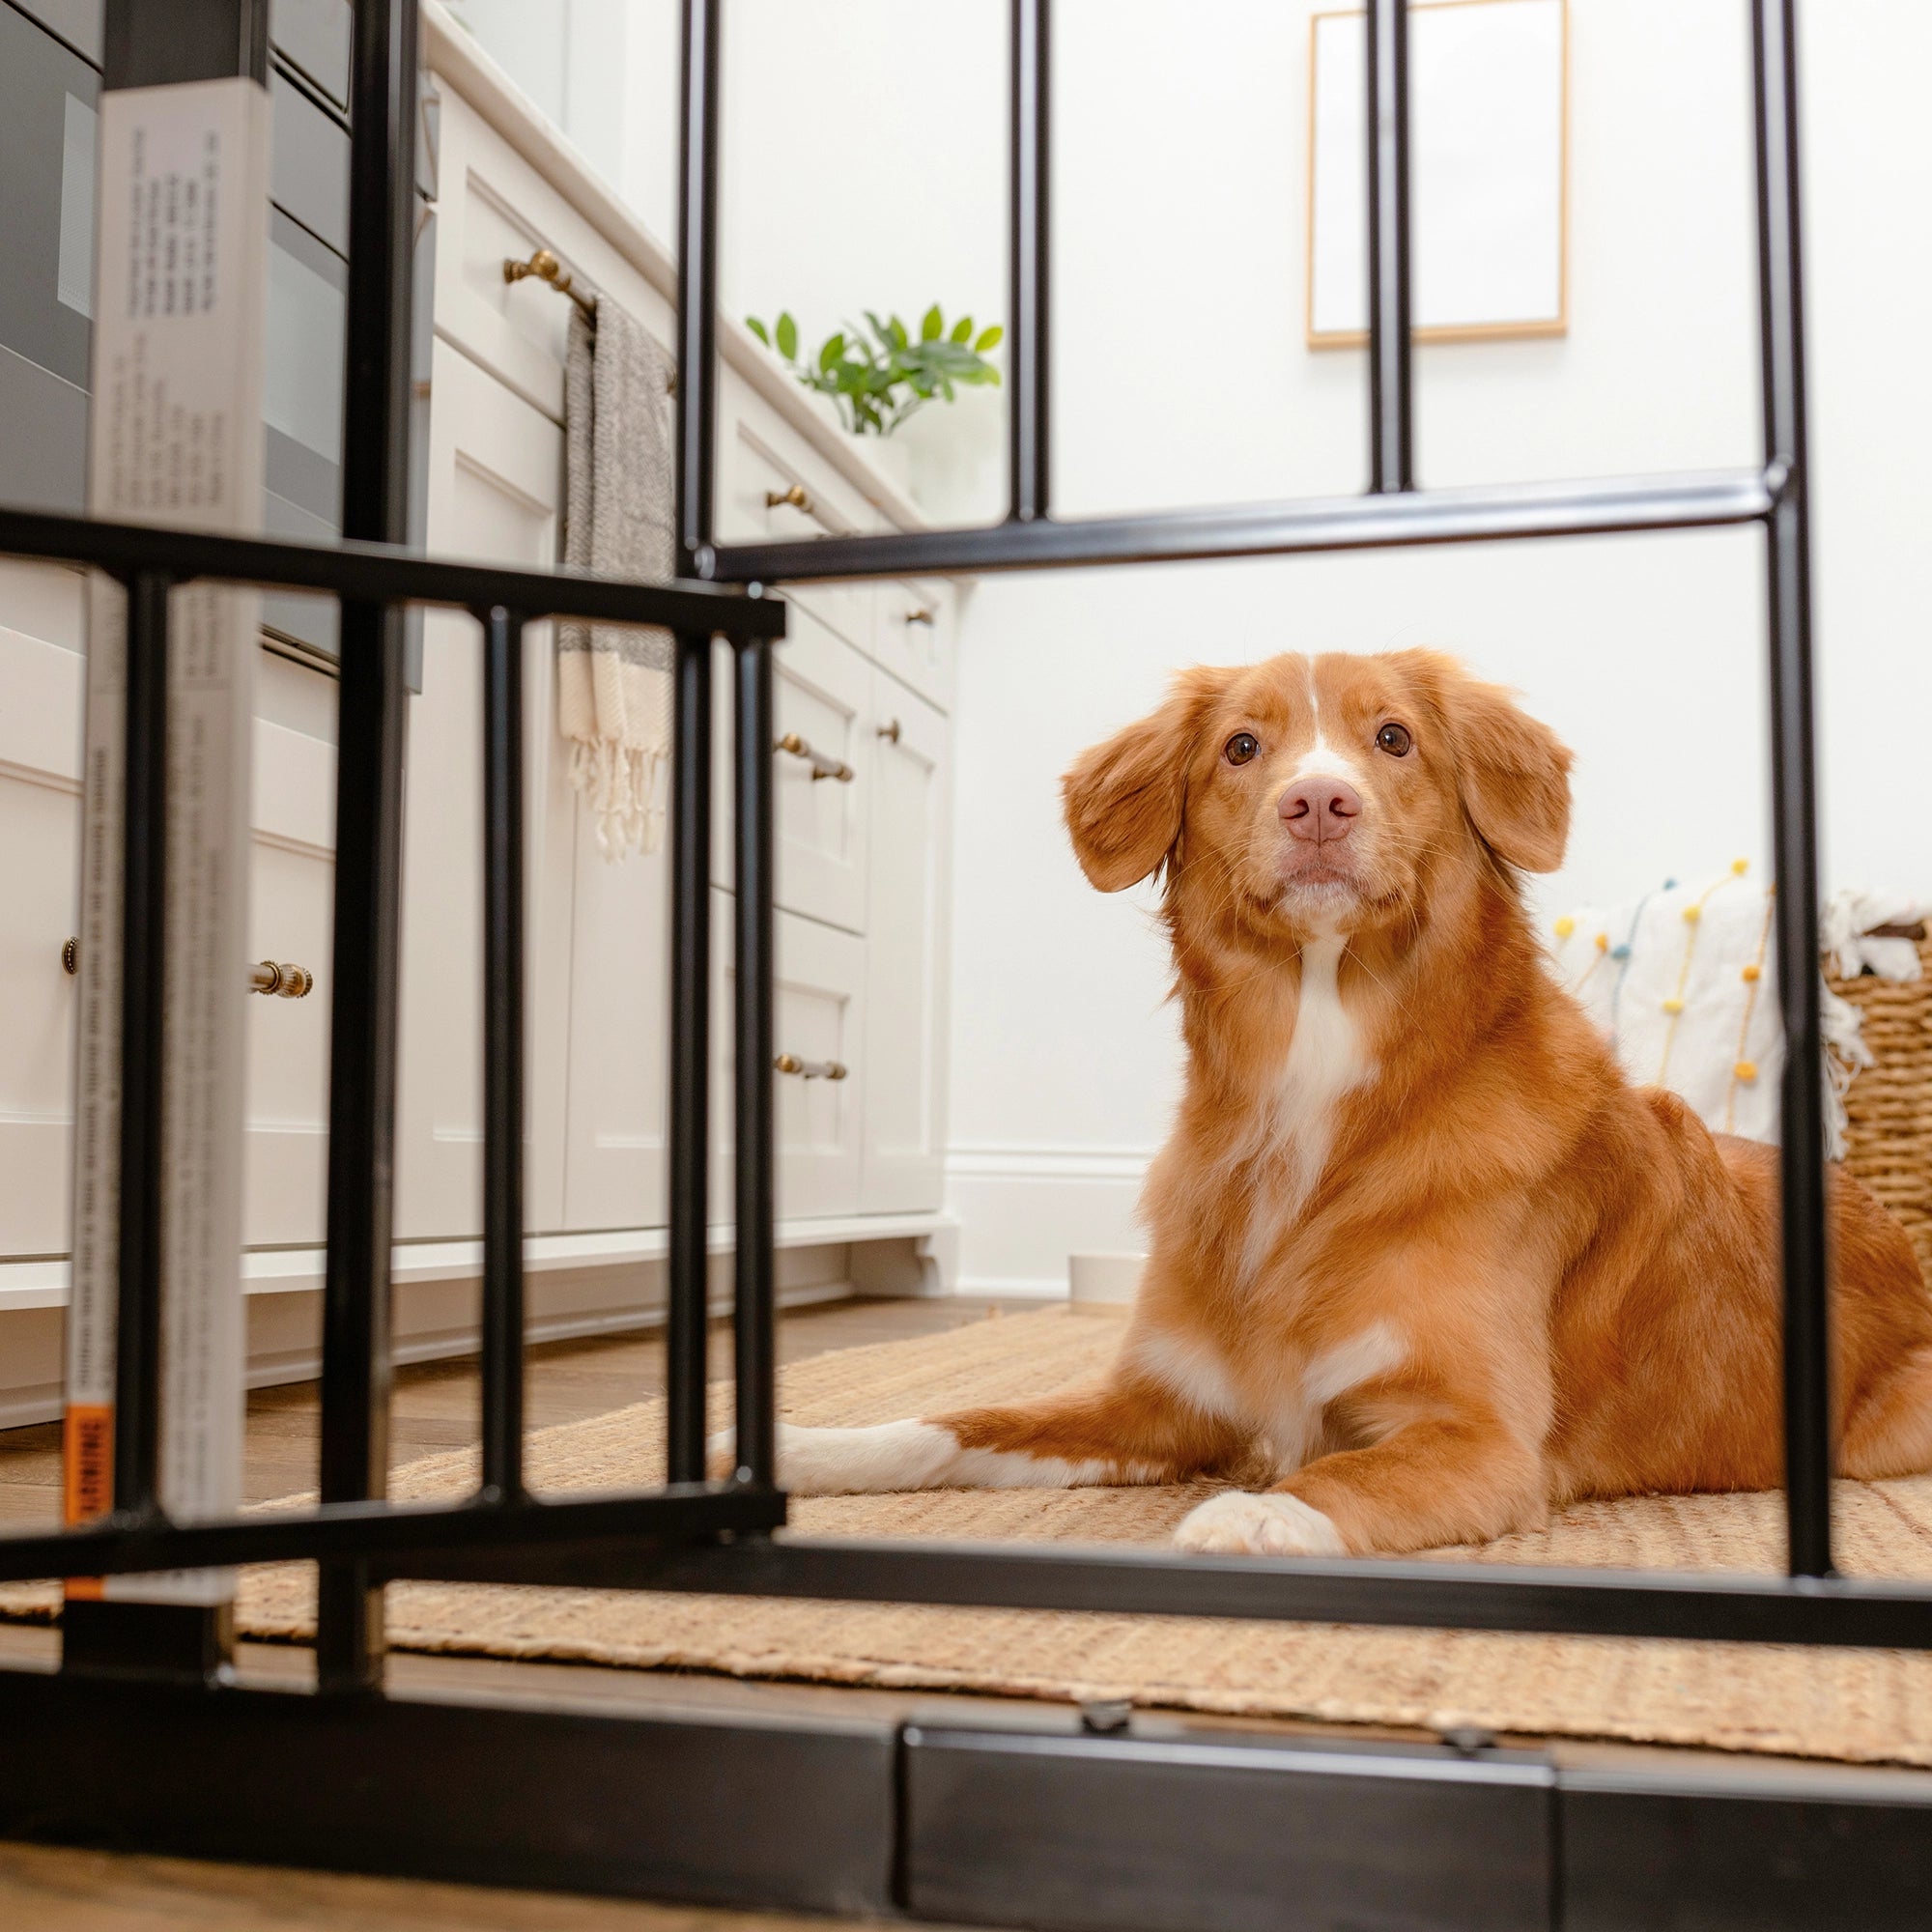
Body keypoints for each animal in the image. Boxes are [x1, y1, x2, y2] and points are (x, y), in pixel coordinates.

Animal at [726, 649, 1932, 1553]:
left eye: (1392, 738)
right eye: (1240, 747)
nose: (1317, 800)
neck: (1311, 1087)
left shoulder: (1475, 1434)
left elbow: (1336, 1478)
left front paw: (1244, 1518)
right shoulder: (1160, 1401)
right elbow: (957, 1418)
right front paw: (795, 1447)